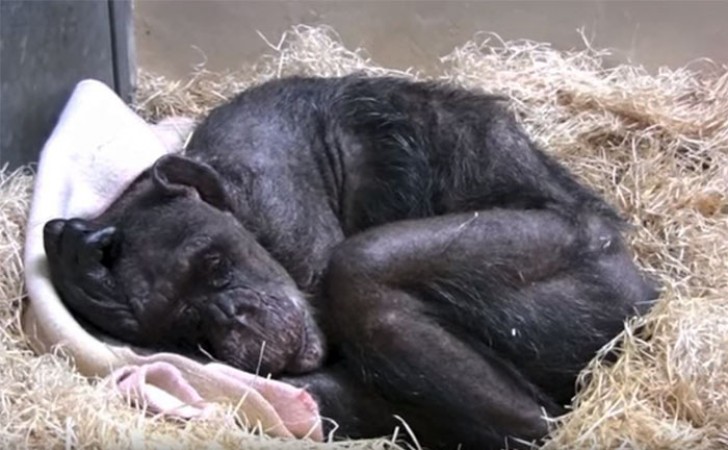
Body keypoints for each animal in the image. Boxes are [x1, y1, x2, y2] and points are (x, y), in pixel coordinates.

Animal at [45, 74, 660, 450]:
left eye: (214, 266)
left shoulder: (281, 205)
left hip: (588, 274)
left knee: (361, 269)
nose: (231, 317)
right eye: (184, 324)